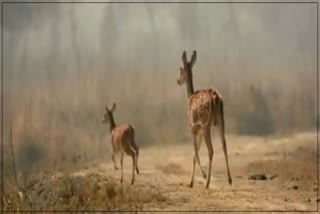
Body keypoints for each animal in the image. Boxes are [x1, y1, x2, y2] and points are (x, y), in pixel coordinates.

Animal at [176, 50, 231, 189]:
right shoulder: (199, 130)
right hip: (221, 120)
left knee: (211, 150)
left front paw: (198, 178)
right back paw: (230, 179)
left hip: (206, 124)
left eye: (180, 69)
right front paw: (191, 182)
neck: (189, 97)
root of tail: (216, 98)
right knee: (224, 145)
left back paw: (207, 182)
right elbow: (194, 154)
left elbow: (195, 152)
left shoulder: (193, 126)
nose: (178, 81)